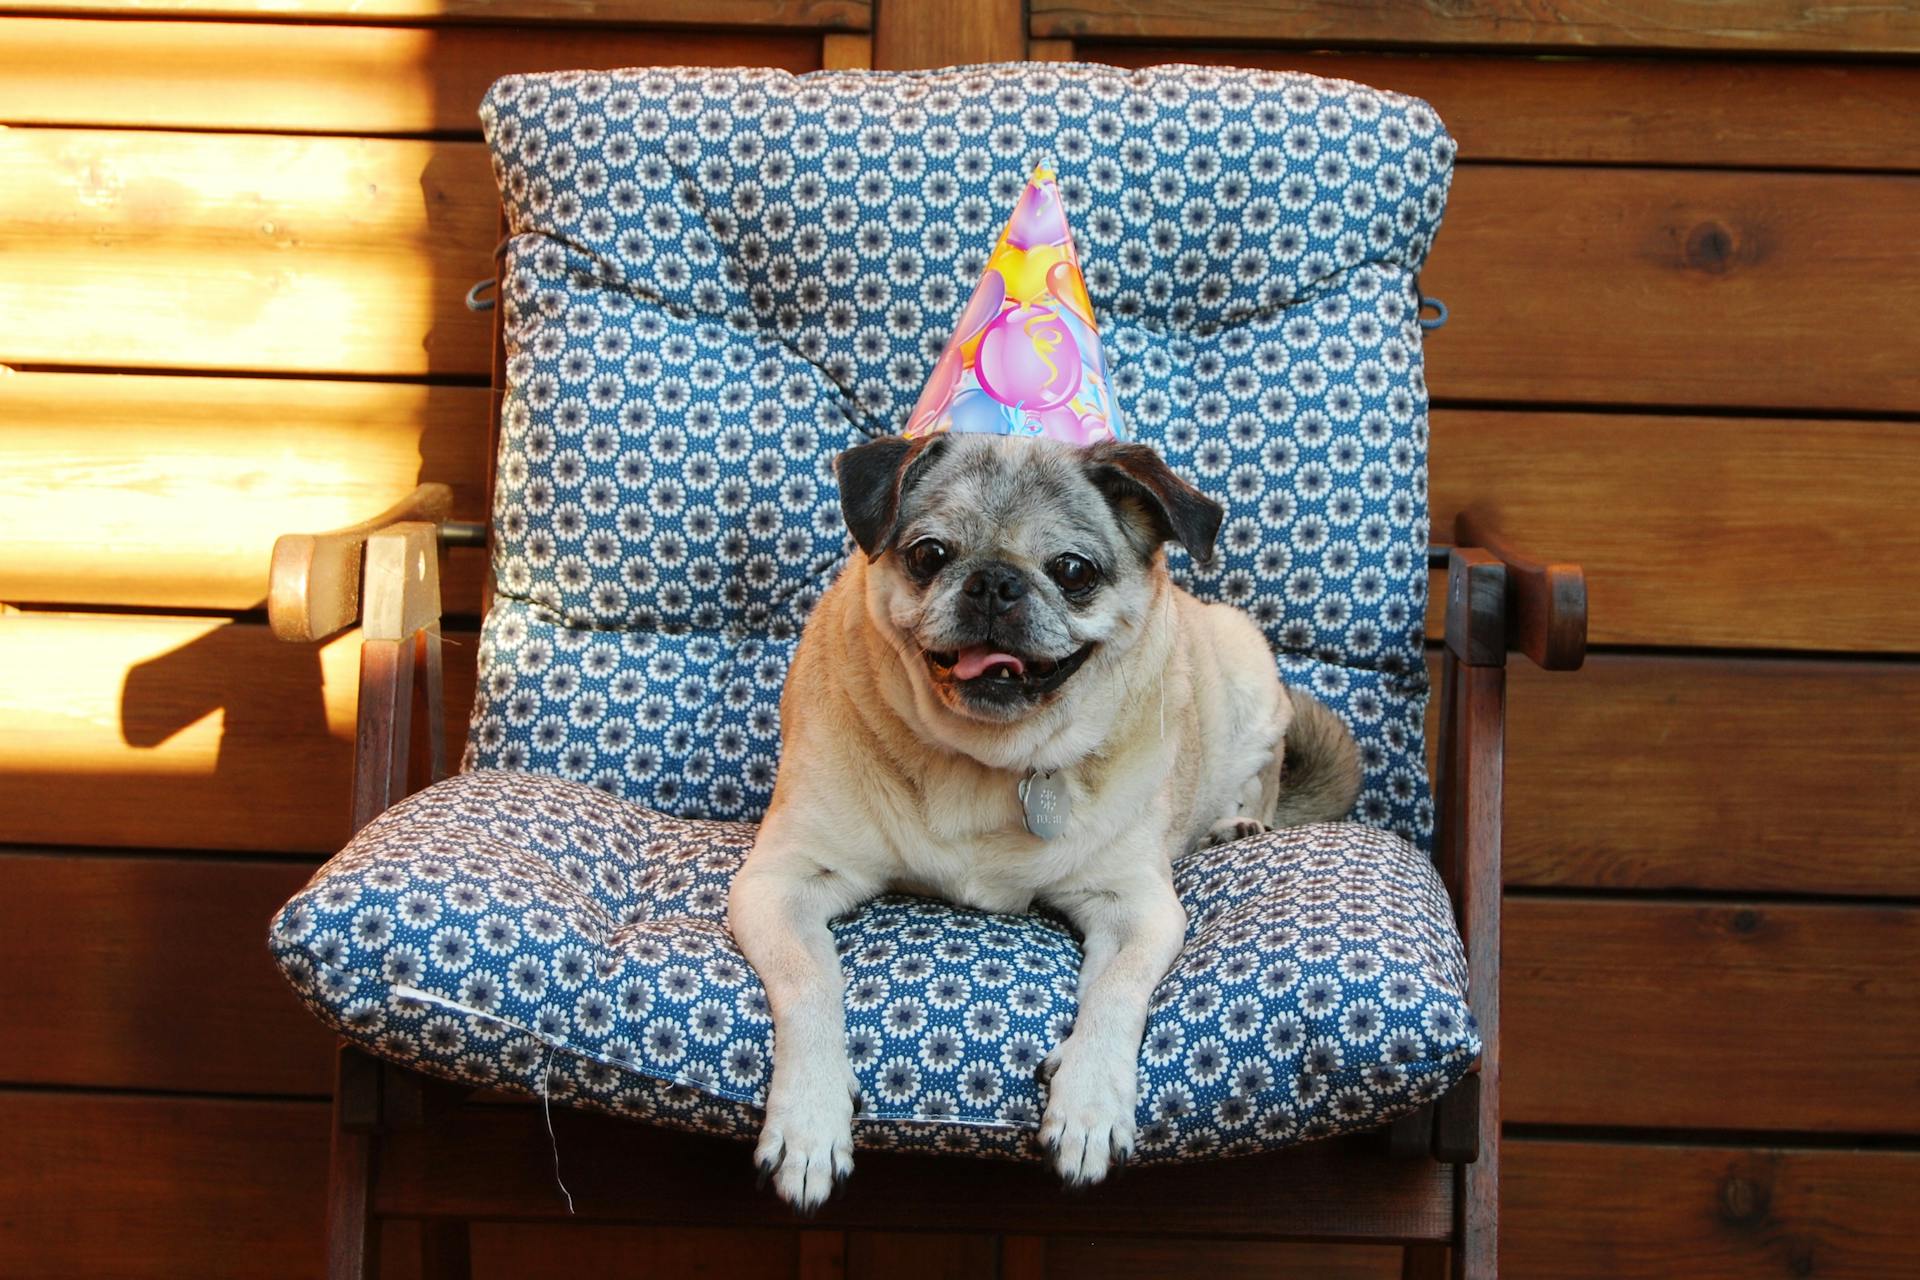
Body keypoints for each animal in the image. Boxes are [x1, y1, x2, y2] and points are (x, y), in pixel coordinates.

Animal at [721, 433, 1367, 1212]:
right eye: (929, 555)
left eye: (1072, 571)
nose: (995, 583)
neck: (987, 761)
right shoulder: (780, 882)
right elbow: (810, 983)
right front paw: (810, 1119)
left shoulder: (1137, 908)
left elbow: (1117, 995)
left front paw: (1088, 1103)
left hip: (1247, 672)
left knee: (1262, 782)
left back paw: (1239, 827)